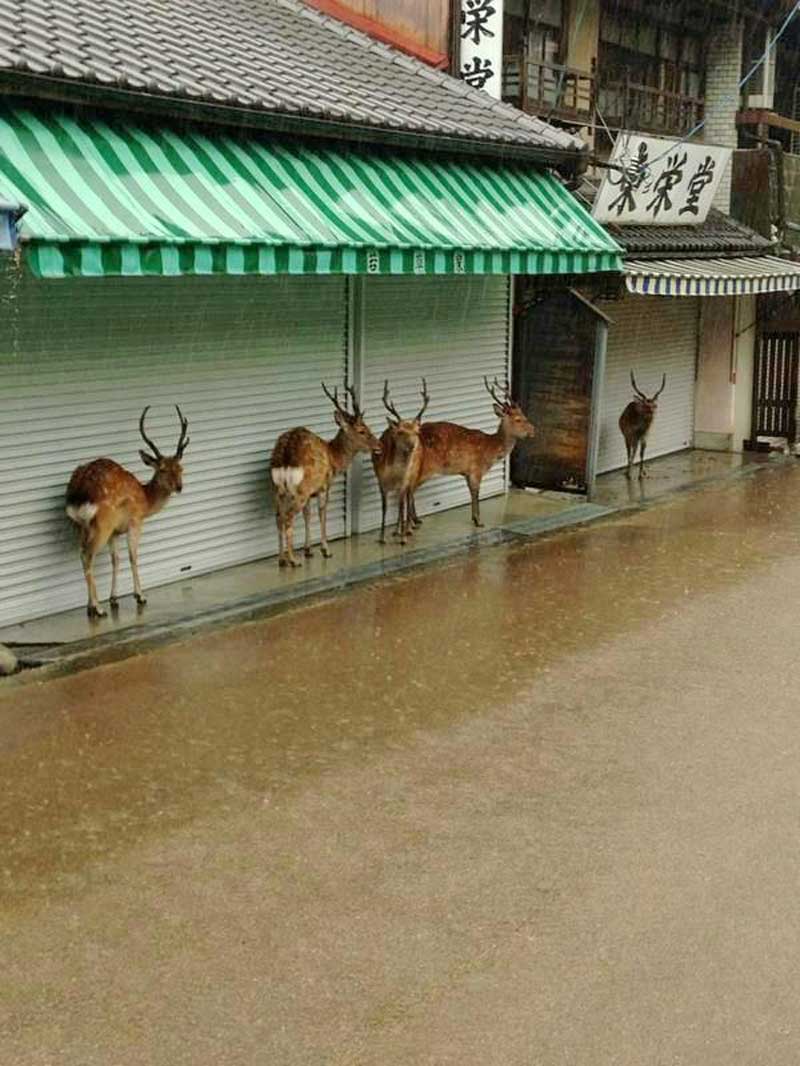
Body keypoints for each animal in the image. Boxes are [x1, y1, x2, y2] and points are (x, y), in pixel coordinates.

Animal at [65, 405, 190, 618]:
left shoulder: (115, 533)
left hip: (81, 525)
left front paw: (114, 598)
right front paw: (140, 596)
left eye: (180, 468)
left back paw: (90, 605)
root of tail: (79, 490)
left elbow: (116, 560)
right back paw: (97, 608)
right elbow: (133, 556)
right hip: (102, 523)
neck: (146, 500)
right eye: (162, 469)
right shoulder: (135, 521)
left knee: (81, 554)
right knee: (88, 556)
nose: (179, 487)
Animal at [270, 382, 381, 568]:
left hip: (278, 489)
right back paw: (293, 560)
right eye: (362, 430)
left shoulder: (310, 492)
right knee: (288, 519)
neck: (334, 458)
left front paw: (308, 550)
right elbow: (322, 513)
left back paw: (281, 559)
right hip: (298, 491)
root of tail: (285, 456)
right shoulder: (323, 486)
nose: (379, 445)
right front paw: (325, 550)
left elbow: (308, 515)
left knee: (278, 517)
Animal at [372, 378, 429, 545]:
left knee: (408, 499)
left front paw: (404, 538)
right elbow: (385, 507)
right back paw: (398, 530)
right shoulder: (381, 481)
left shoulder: (405, 480)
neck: (393, 474)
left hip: (414, 475)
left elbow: (402, 505)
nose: (412, 445)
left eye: (416, 432)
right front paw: (382, 537)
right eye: (400, 432)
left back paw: (408, 528)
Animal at [408, 376, 535, 529]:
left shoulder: (467, 473)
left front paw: (474, 518)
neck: (491, 450)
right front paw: (479, 521)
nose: (533, 430)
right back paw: (412, 523)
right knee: (409, 489)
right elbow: (476, 493)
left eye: (524, 415)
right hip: (426, 467)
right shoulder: (476, 470)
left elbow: (471, 493)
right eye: (518, 419)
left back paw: (416, 520)